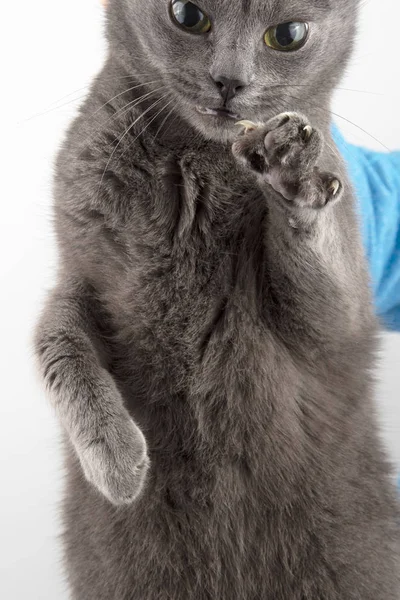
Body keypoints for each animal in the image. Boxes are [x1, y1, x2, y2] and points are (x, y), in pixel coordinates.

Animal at [35, 0, 400, 596]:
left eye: (288, 35)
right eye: (188, 15)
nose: (229, 80)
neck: (196, 161)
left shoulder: (339, 326)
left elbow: (329, 296)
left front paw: (293, 165)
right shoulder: (84, 272)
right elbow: (57, 344)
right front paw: (118, 463)